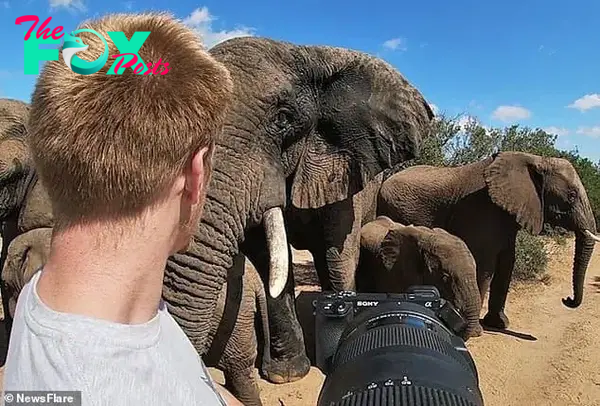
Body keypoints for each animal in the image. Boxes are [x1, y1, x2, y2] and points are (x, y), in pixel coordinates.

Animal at [378, 151, 596, 328]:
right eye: (571, 195)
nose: (567, 299)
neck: (534, 159)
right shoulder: (482, 209)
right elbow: (486, 265)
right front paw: (479, 330)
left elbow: (507, 263)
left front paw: (499, 324)